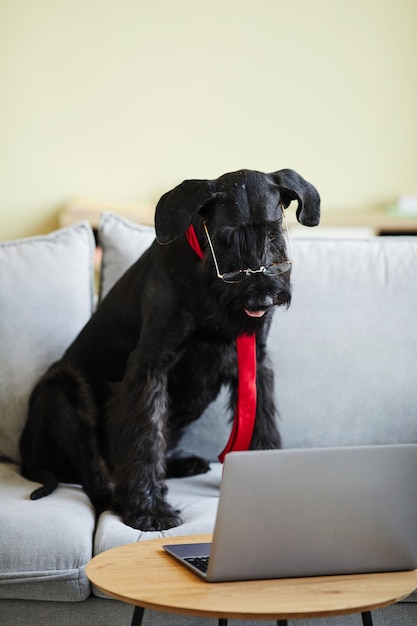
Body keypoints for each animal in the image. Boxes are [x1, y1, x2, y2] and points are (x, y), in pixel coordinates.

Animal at [18, 166, 318, 528]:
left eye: (274, 235)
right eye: (226, 239)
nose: (261, 297)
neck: (208, 286)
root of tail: (28, 458)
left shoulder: (255, 361)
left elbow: (262, 422)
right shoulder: (150, 366)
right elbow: (145, 435)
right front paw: (148, 510)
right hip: (61, 391)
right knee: (93, 471)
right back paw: (115, 497)